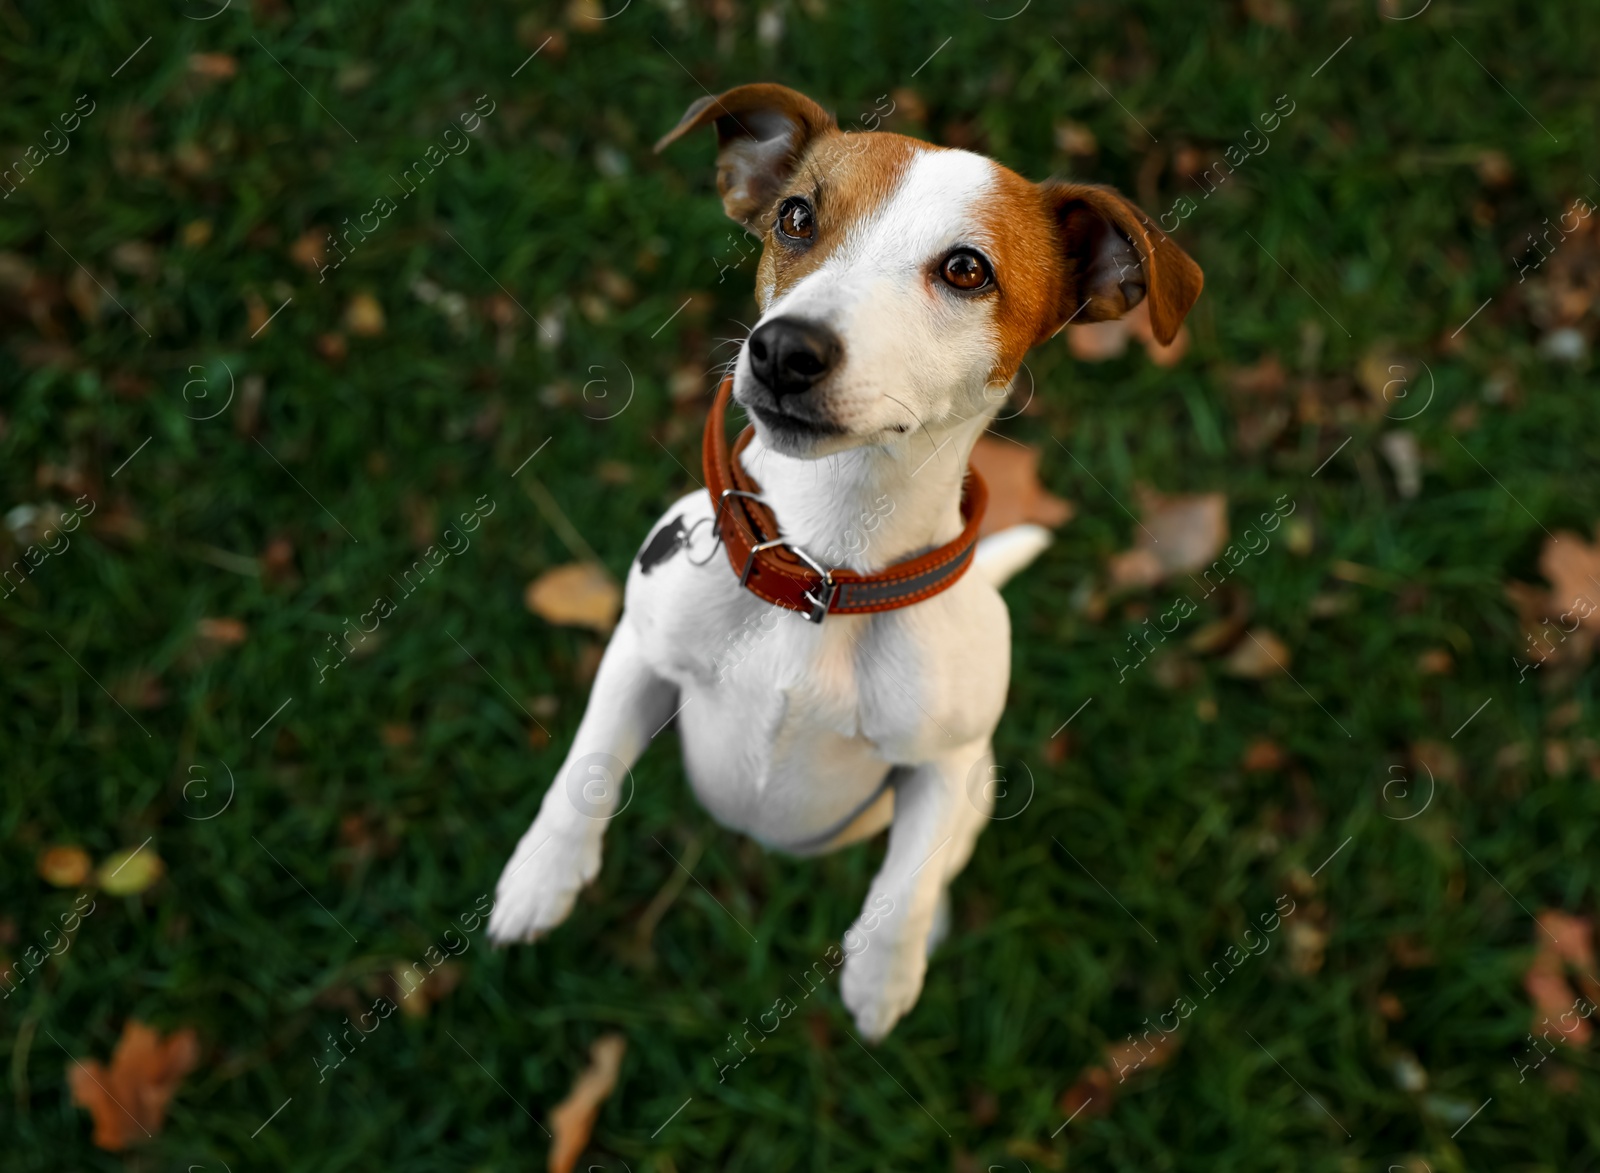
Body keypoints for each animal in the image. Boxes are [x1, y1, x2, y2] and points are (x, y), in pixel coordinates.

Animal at [486, 80, 1203, 1036]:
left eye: (967, 269)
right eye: (796, 217)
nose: (784, 349)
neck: (827, 565)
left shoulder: (943, 763)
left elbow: (907, 880)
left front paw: (881, 976)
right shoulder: (640, 649)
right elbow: (587, 767)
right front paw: (541, 876)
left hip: (975, 782)